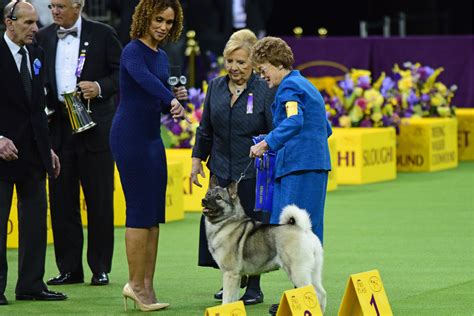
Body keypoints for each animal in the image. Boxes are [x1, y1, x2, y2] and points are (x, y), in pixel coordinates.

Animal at [200, 177, 326, 312]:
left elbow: (227, 300)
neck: (227, 222)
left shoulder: (230, 274)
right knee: (321, 293)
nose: (204, 200)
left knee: (312, 292)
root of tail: (304, 230)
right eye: (208, 194)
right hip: (314, 272)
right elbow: (233, 299)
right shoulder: (236, 276)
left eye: (218, 197)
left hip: (298, 272)